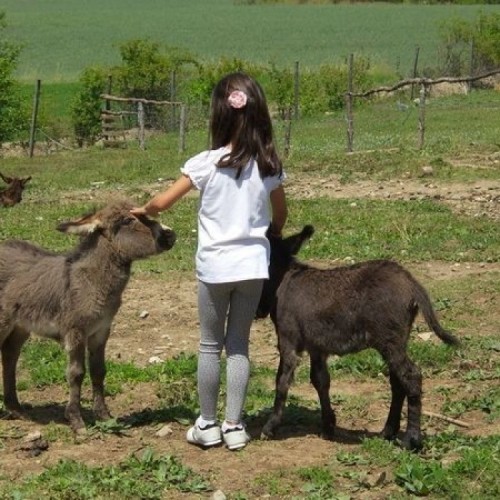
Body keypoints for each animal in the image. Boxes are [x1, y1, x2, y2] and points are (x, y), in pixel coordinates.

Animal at [0, 200, 176, 432]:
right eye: (127, 221)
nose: (171, 234)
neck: (92, 282)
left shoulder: (101, 331)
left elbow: (98, 370)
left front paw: (104, 416)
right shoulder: (75, 332)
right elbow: (76, 373)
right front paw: (76, 420)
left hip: (20, 326)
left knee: (10, 354)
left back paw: (16, 409)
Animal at [256, 225, 459, 450]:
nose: (258, 312)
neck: (282, 282)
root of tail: (410, 281)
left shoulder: (288, 342)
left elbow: (282, 382)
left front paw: (270, 427)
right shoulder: (317, 348)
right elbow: (320, 381)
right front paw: (328, 426)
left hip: (389, 341)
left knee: (411, 376)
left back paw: (411, 439)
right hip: (394, 343)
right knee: (398, 383)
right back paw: (388, 432)